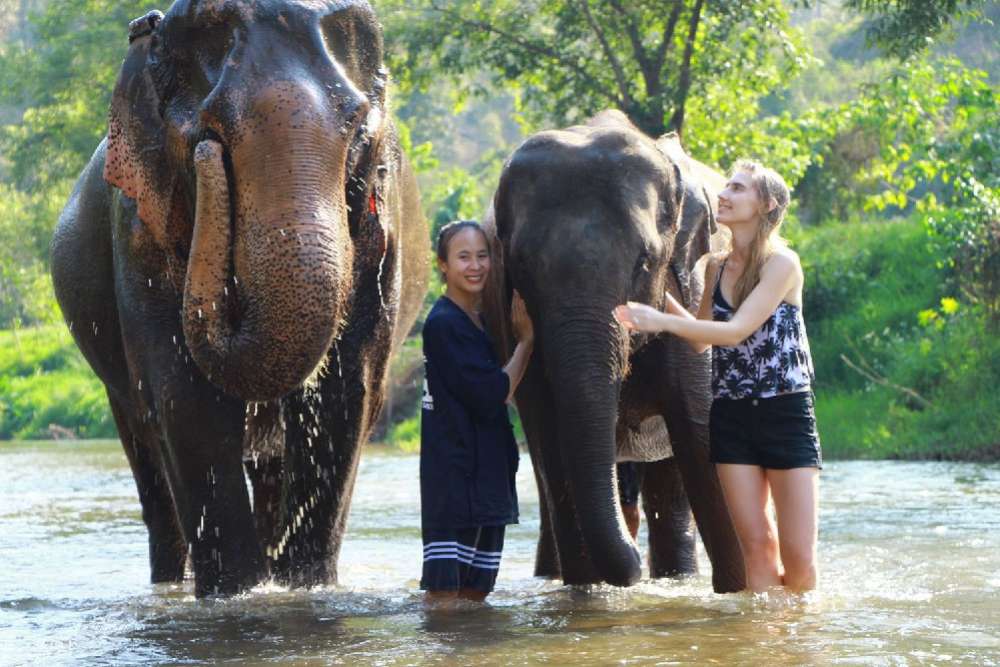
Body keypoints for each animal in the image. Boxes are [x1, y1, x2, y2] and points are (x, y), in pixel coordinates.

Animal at [50, 0, 428, 597]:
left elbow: (349, 390)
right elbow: (184, 397)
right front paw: (237, 593)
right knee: (145, 451)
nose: (208, 157)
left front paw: (305, 588)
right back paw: (172, 585)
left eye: (358, 134)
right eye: (209, 133)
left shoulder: (380, 232)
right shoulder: (135, 226)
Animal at [482, 110, 744, 592]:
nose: (632, 568)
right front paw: (587, 595)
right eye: (522, 266)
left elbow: (699, 433)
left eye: (645, 260)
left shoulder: (693, 290)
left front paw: (744, 592)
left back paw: (675, 580)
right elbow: (550, 440)